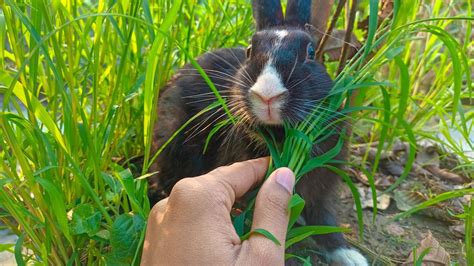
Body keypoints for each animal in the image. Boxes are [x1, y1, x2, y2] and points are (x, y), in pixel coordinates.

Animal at [148, 0, 366, 264]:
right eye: (250, 51)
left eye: (311, 53)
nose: (267, 95)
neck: (280, 136)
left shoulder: (322, 187)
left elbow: (324, 219)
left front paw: (350, 255)